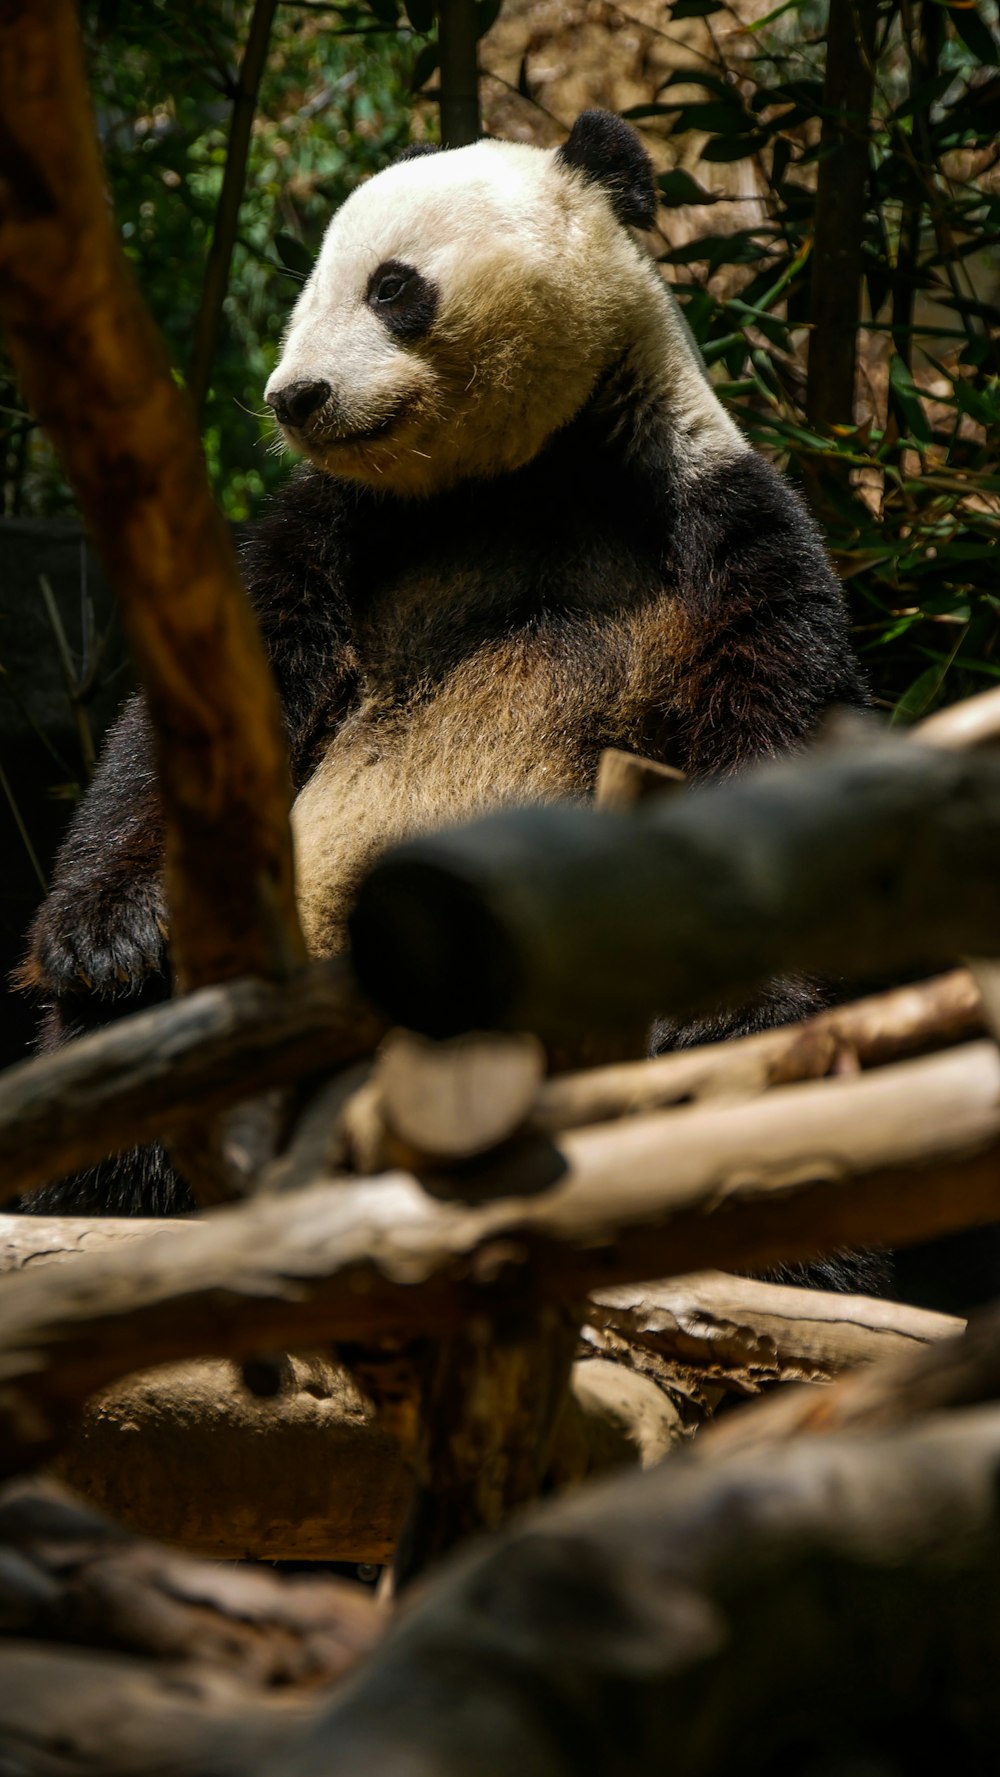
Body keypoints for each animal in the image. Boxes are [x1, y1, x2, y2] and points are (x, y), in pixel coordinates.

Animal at [19, 107, 873, 1222]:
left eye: (391, 286)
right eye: (308, 287)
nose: (295, 396)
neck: (517, 481)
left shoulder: (714, 519)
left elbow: (777, 705)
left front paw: (733, 998)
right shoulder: (332, 533)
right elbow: (208, 724)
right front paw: (108, 936)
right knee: (122, 1081)